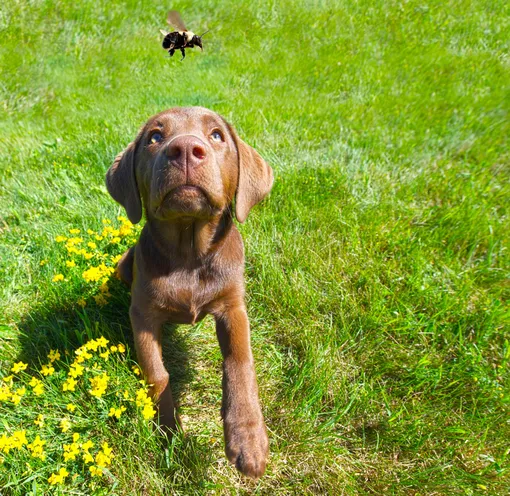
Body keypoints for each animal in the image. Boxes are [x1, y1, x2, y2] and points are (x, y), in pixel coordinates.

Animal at [105, 106, 274, 478]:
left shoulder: (233, 307)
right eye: (155, 136)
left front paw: (248, 437)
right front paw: (168, 431)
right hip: (124, 265)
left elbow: (240, 361)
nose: (184, 149)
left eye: (216, 135)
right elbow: (157, 374)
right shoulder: (142, 315)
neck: (188, 255)